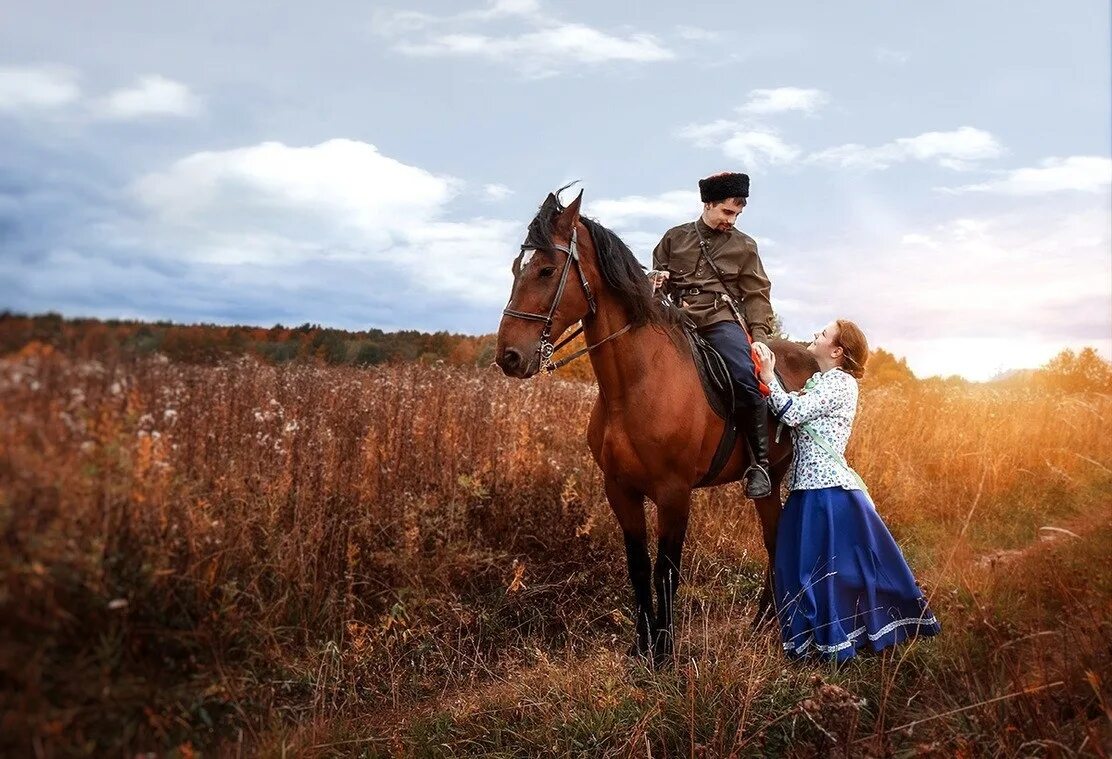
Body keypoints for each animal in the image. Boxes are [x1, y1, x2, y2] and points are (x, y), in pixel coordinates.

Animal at [495, 190, 818, 666]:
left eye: (547, 270)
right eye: (518, 267)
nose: (509, 357)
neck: (634, 385)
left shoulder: (673, 494)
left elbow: (667, 568)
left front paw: (663, 653)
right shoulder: (620, 491)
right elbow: (638, 565)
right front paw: (641, 647)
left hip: (782, 476)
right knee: (774, 539)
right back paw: (764, 622)